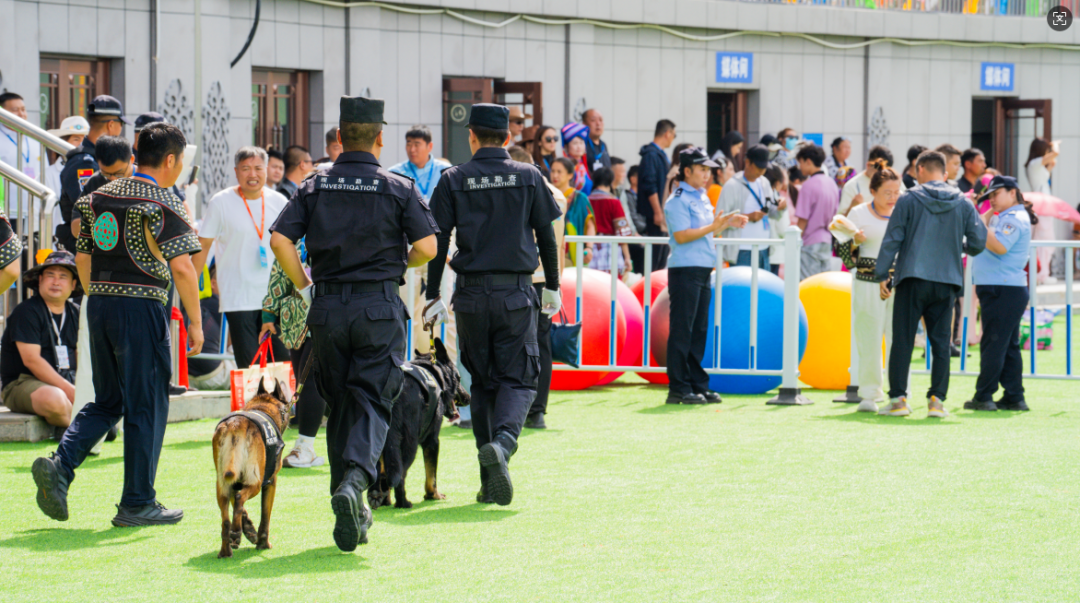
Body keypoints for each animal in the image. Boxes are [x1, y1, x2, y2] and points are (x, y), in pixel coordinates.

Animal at [212, 375, 292, 558]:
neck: (262, 407)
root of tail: (234, 426)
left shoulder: (234, 483)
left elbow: (240, 509)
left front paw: (248, 529)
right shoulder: (270, 481)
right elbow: (265, 516)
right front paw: (263, 543)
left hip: (222, 485)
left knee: (226, 519)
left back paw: (226, 549)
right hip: (255, 482)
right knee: (240, 498)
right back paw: (236, 532)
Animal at [368, 338, 470, 510]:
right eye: (459, 378)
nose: (468, 398)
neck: (437, 374)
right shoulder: (432, 441)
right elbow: (432, 474)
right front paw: (433, 495)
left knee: (379, 472)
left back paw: (377, 496)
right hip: (410, 444)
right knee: (400, 475)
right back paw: (403, 503)